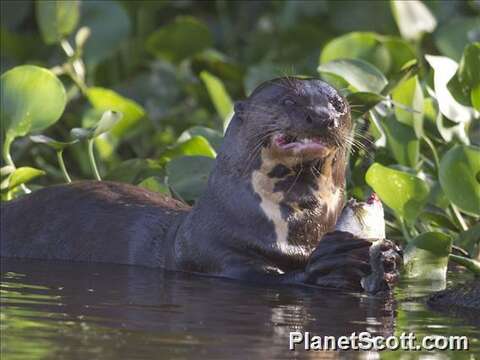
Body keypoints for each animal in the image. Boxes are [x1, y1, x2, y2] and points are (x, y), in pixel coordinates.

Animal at [0, 77, 402, 292]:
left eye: (339, 105)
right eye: (289, 100)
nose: (322, 117)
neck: (295, 235)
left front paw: (390, 259)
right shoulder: (215, 254)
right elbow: (269, 278)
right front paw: (333, 260)